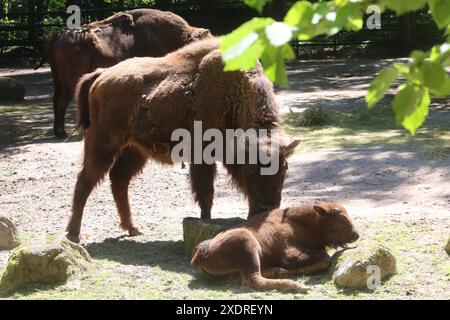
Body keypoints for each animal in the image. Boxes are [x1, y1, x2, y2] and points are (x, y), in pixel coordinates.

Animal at [44, 8, 210, 138]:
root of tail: (56, 37)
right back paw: (61, 132)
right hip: (70, 81)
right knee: (62, 99)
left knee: (56, 99)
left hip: (58, 79)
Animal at [66, 37, 298, 242]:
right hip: (103, 144)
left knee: (119, 180)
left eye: (284, 169)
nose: (267, 208)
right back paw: (73, 234)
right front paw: (205, 222)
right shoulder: (203, 156)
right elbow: (206, 193)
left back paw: (132, 229)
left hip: (135, 151)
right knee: (85, 181)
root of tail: (100, 75)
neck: (234, 95)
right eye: (250, 170)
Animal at [190, 202, 358, 292]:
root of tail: (200, 255)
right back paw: (296, 285)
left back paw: (278, 272)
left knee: (240, 278)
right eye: (341, 219)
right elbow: (325, 259)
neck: (298, 222)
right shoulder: (291, 255)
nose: (356, 235)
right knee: (253, 280)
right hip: (247, 244)